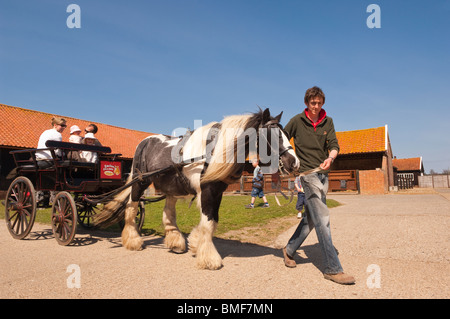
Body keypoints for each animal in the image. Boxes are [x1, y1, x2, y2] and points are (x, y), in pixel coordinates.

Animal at [94, 108, 298, 270]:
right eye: (272, 135)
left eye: (285, 133)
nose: (294, 162)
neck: (215, 151)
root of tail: (144, 142)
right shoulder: (207, 190)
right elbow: (208, 222)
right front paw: (209, 258)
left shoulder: (217, 192)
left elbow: (212, 221)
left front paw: (195, 243)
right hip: (139, 182)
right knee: (132, 208)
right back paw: (133, 240)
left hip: (171, 188)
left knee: (168, 213)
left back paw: (175, 242)